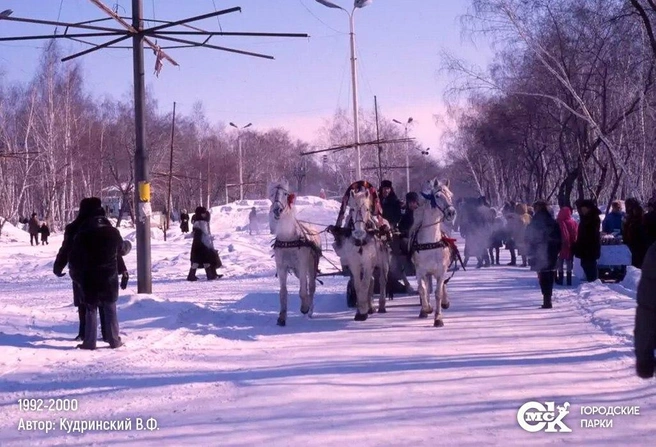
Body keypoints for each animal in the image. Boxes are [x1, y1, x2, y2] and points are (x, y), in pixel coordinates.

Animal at [268, 180, 322, 328]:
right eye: (271, 194)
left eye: (285, 194)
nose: (277, 210)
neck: (288, 239)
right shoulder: (281, 267)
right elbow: (283, 292)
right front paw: (282, 317)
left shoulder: (302, 265)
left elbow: (303, 290)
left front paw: (305, 307)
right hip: (297, 271)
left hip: (311, 266)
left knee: (311, 286)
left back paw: (310, 310)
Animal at [334, 185, 390, 318]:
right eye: (352, 209)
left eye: (367, 209)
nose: (359, 232)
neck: (360, 241)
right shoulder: (355, 264)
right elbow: (358, 286)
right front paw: (360, 310)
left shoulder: (368, 262)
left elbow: (365, 284)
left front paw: (363, 310)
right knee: (372, 281)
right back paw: (370, 306)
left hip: (383, 262)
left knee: (382, 280)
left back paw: (381, 305)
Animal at [410, 178, 456, 328]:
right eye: (437, 196)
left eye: (451, 195)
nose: (451, 212)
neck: (431, 243)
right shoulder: (420, 271)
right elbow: (422, 289)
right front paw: (426, 309)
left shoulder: (441, 270)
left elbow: (438, 293)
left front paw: (438, 318)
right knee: (426, 287)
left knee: (441, 286)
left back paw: (445, 302)